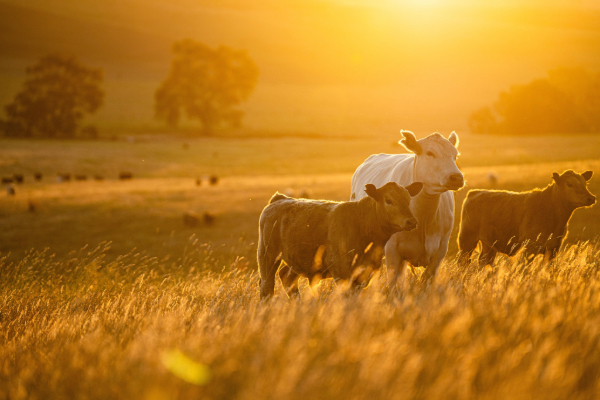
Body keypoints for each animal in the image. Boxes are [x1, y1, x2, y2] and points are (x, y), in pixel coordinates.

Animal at [258, 181, 422, 300]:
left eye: (408, 200)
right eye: (389, 200)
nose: (412, 221)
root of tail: (280, 199)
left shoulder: (365, 274)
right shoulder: (341, 271)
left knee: (287, 277)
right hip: (268, 255)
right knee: (267, 285)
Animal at [352, 131, 464, 288]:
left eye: (455, 155)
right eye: (430, 153)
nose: (457, 177)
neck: (424, 216)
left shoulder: (441, 250)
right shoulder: (391, 249)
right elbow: (393, 282)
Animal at [460, 169, 596, 266]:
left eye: (585, 183)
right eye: (569, 184)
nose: (591, 198)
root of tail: (475, 192)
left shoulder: (553, 249)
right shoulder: (530, 248)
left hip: (489, 245)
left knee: (484, 261)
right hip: (467, 240)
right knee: (464, 262)